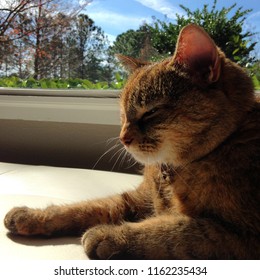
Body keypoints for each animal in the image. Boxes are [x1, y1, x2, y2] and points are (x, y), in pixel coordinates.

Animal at [4, 25, 260, 260]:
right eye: (123, 115)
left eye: (150, 112)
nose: (123, 138)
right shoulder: (137, 199)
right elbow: (87, 206)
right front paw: (32, 216)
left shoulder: (240, 235)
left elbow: (172, 231)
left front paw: (111, 235)